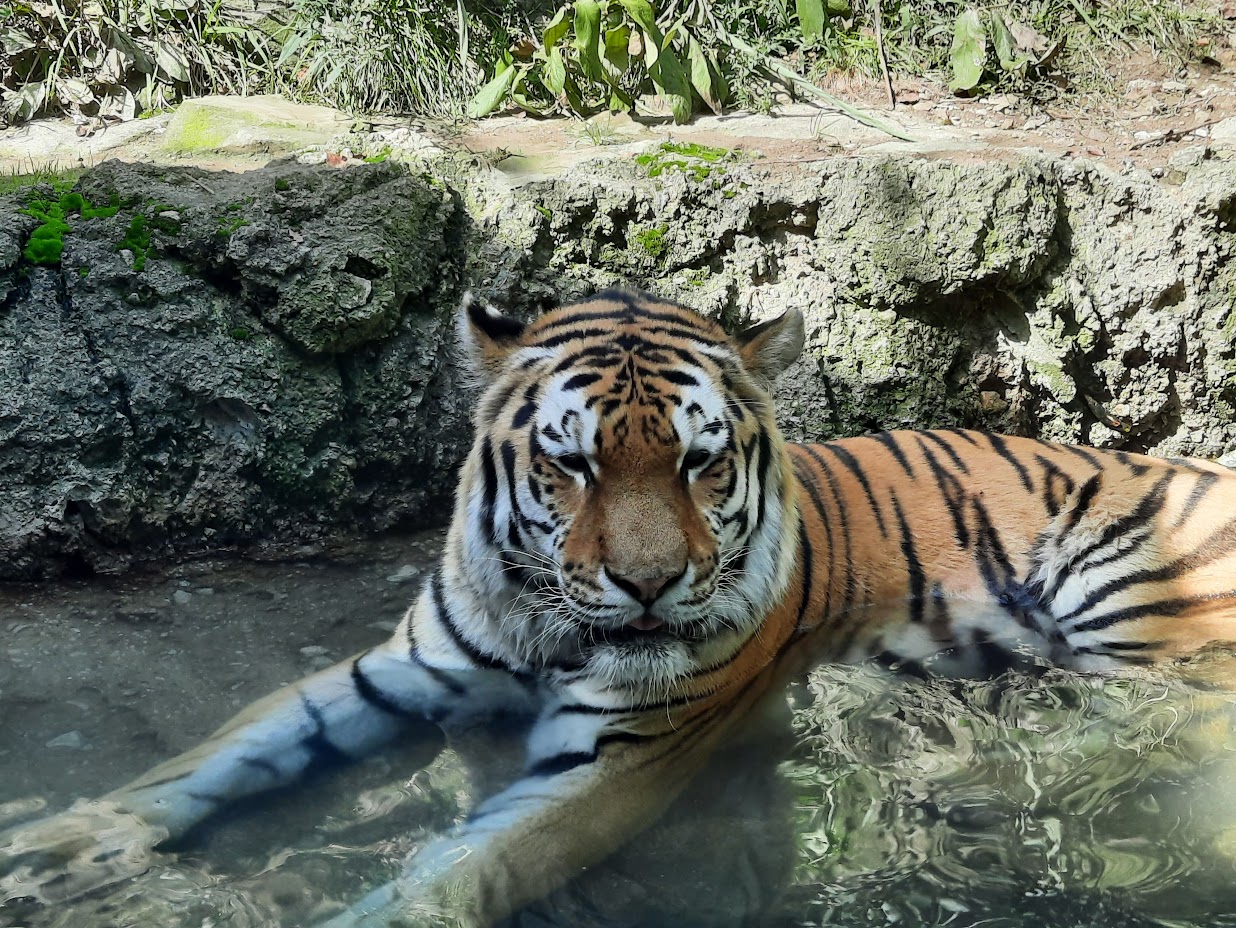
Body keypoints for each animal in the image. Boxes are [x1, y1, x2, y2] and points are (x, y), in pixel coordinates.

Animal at [3, 286, 1236, 927]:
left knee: (1168, 722)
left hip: (1119, 580)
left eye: (699, 463)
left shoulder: (621, 754)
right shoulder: (390, 672)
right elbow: (220, 754)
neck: (538, 618)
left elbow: (470, 864)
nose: (648, 586)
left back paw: (976, 775)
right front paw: (60, 842)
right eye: (574, 465)